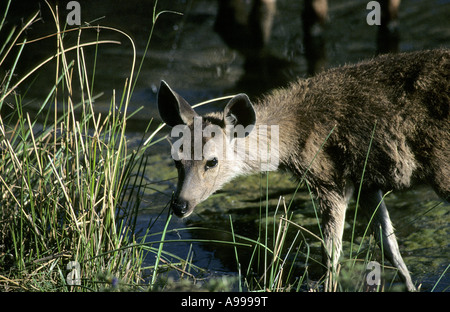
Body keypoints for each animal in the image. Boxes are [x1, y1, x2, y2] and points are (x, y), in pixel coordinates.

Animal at [156, 48, 450, 290]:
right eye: (176, 160)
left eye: (212, 161)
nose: (179, 205)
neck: (294, 134)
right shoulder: (365, 181)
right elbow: (390, 246)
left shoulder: (330, 179)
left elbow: (331, 254)